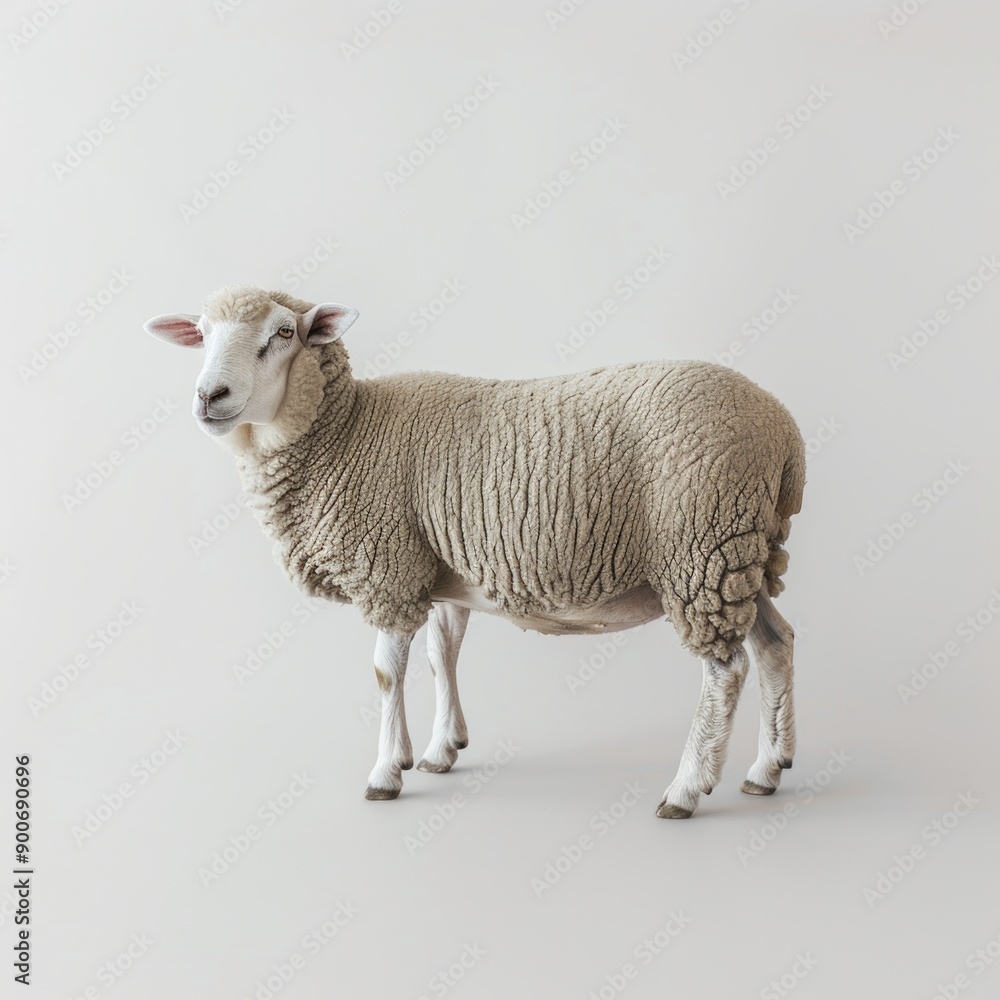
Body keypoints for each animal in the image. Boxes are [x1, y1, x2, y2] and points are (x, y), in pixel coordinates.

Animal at [144, 284, 806, 819]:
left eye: (283, 333)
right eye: (201, 334)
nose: (209, 396)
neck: (349, 431)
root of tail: (783, 430)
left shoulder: (387, 568)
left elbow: (386, 672)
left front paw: (385, 773)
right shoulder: (436, 570)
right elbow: (443, 655)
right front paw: (440, 750)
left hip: (701, 548)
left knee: (726, 670)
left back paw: (687, 789)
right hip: (741, 554)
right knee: (776, 644)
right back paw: (766, 770)